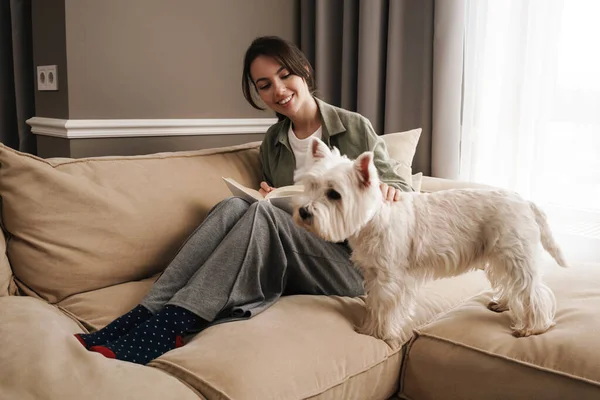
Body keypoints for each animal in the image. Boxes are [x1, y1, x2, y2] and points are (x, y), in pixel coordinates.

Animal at [296, 138, 568, 340]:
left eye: (334, 194)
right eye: (312, 185)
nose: (304, 212)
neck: (373, 219)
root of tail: (525, 202)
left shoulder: (389, 278)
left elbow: (385, 307)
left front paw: (376, 333)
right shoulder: (373, 274)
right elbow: (374, 303)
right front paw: (371, 325)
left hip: (515, 255)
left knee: (533, 290)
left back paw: (532, 327)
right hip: (500, 257)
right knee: (512, 286)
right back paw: (502, 304)